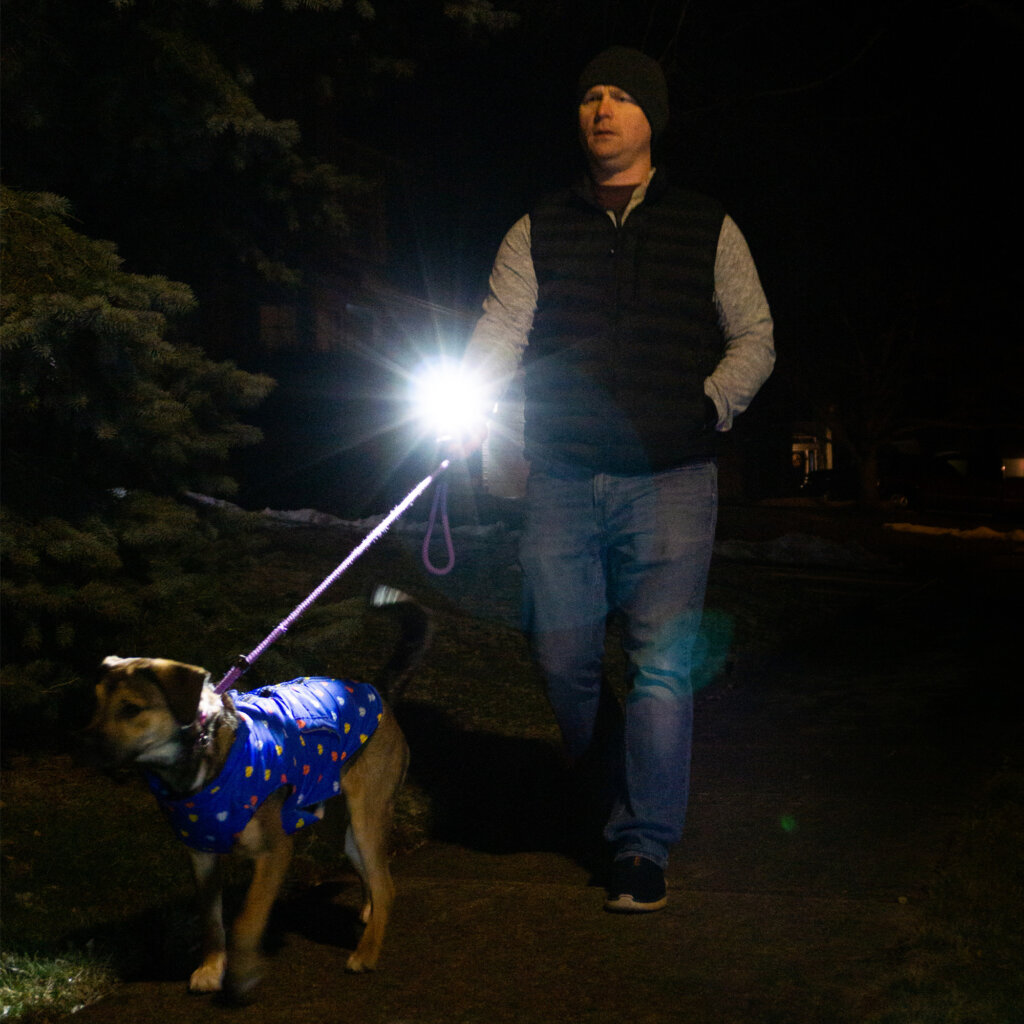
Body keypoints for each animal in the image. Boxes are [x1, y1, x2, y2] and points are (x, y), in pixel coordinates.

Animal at [83, 585, 428, 999]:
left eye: (132, 709)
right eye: (95, 705)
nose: (85, 747)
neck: (202, 757)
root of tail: (380, 694)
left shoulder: (275, 851)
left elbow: (247, 919)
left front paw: (243, 972)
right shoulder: (201, 855)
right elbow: (212, 921)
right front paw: (211, 969)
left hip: (366, 818)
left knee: (386, 885)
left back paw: (367, 952)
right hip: (340, 828)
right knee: (370, 875)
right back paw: (369, 914)